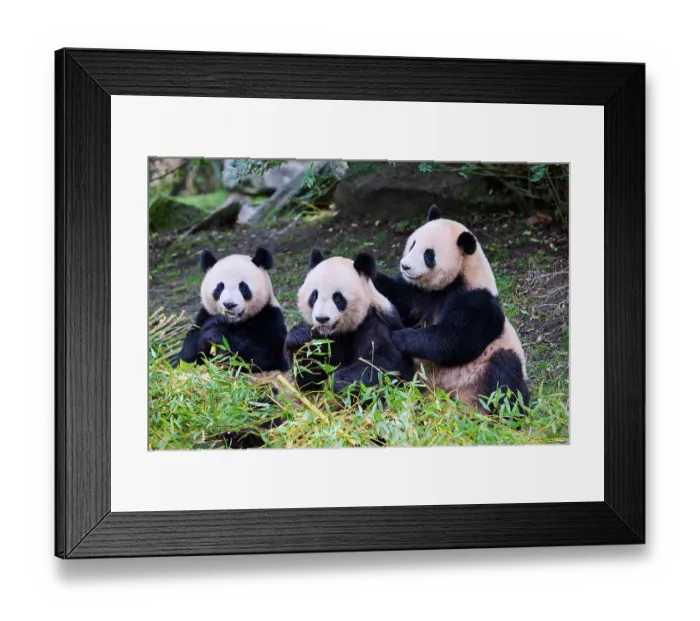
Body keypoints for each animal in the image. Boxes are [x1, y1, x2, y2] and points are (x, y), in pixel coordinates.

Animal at [284, 249, 415, 392]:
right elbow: (308, 380)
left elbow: (383, 363)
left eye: (337, 297)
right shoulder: (323, 339)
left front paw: (336, 382)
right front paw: (299, 336)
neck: (340, 332)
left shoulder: (375, 321)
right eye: (314, 295)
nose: (322, 319)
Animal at [373, 205, 529, 409]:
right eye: (412, 244)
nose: (405, 266)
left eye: (428, 254)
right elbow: (397, 298)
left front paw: (398, 336)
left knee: (506, 375)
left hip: (489, 365)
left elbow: (455, 339)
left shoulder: (477, 300)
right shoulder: (416, 292)